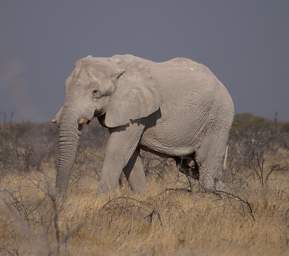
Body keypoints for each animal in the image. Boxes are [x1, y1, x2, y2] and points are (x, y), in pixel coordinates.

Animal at [53, 53, 234, 195]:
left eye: (95, 92)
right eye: (65, 87)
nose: (59, 202)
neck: (112, 63)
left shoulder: (136, 110)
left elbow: (117, 151)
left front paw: (100, 202)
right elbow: (130, 157)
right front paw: (142, 198)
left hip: (218, 119)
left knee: (205, 166)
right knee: (190, 167)